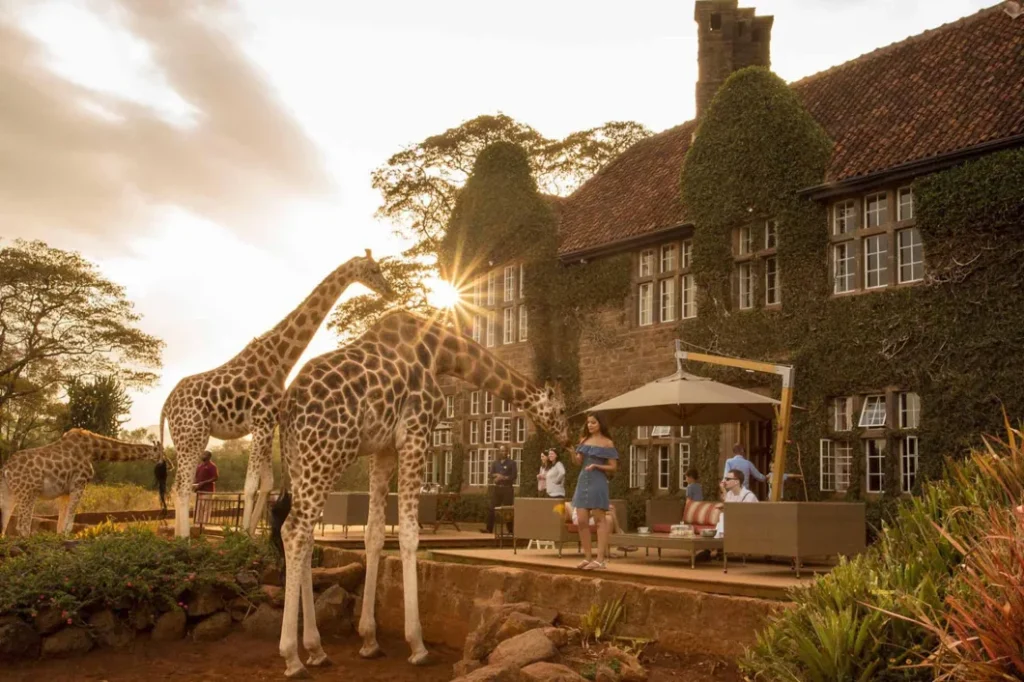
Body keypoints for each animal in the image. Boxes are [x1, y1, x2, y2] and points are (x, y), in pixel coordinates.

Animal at [0, 428, 168, 537]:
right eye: (163, 453)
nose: (170, 465)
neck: (94, 450)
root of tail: (5, 470)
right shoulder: (79, 484)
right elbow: (69, 523)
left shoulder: (65, 491)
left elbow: (60, 524)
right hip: (28, 493)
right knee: (22, 526)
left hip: (9, 494)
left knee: (4, 526)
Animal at [160, 250, 393, 538]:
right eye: (374, 269)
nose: (390, 292)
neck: (279, 361)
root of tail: (166, 405)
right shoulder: (260, 422)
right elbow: (250, 485)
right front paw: (241, 536)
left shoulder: (268, 423)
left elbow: (267, 482)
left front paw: (251, 534)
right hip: (191, 434)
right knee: (181, 486)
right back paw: (184, 538)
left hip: (190, 436)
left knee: (179, 485)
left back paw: (180, 536)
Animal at [270, 310, 573, 678]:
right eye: (561, 411)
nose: (570, 440)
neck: (441, 353)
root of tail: (287, 408)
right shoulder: (415, 434)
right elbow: (409, 534)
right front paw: (417, 645)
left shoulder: (383, 449)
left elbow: (374, 534)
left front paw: (369, 640)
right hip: (328, 454)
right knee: (295, 531)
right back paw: (292, 657)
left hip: (300, 460)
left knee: (306, 534)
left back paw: (316, 649)